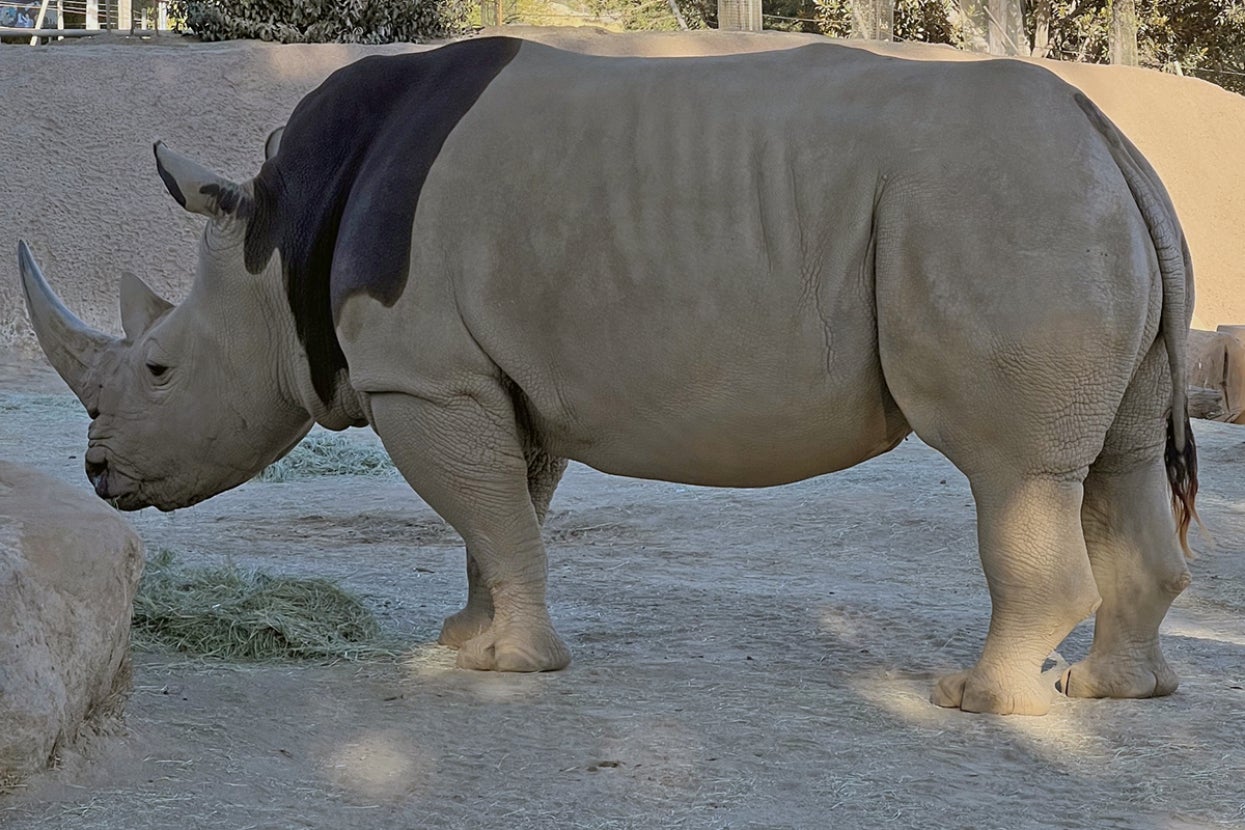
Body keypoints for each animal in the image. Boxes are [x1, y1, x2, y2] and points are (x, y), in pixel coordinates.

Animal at [19, 38, 1198, 715]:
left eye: (159, 367)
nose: (98, 473)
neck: (278, 244)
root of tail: (1110, 136)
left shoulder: (423, 376)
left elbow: (487, 512)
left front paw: (507, 672)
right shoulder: (488, 377)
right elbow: (501, 515)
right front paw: (467, 644)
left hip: (1002, 207)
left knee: (1014, 469)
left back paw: (979, 701)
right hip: (1075, 206)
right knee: (1122, 457)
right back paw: (1112, 690)